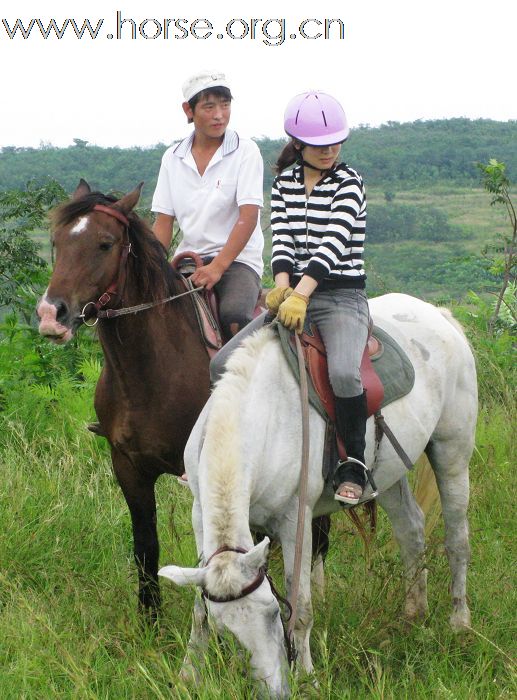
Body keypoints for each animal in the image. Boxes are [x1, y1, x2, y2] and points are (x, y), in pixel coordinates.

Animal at [36, 180, 211, 612]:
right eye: (57, 242)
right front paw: (150, 617)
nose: (50, 315)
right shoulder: (128, 467)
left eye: (105, 244)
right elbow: (145, 546)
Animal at [157, 292, 476, 696]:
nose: (275, 692)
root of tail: (439, 315)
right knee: (411, 530)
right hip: (387, 474)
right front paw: (188, 674)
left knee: (456, 539)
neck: (262, 418)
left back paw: (459, 623)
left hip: (452, 452)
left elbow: (302, 607)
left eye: (272, 613)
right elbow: (199, 610)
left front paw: (307, 676)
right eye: (226, 633)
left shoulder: (297, 519)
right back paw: (412, 615)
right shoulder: (200, 512)